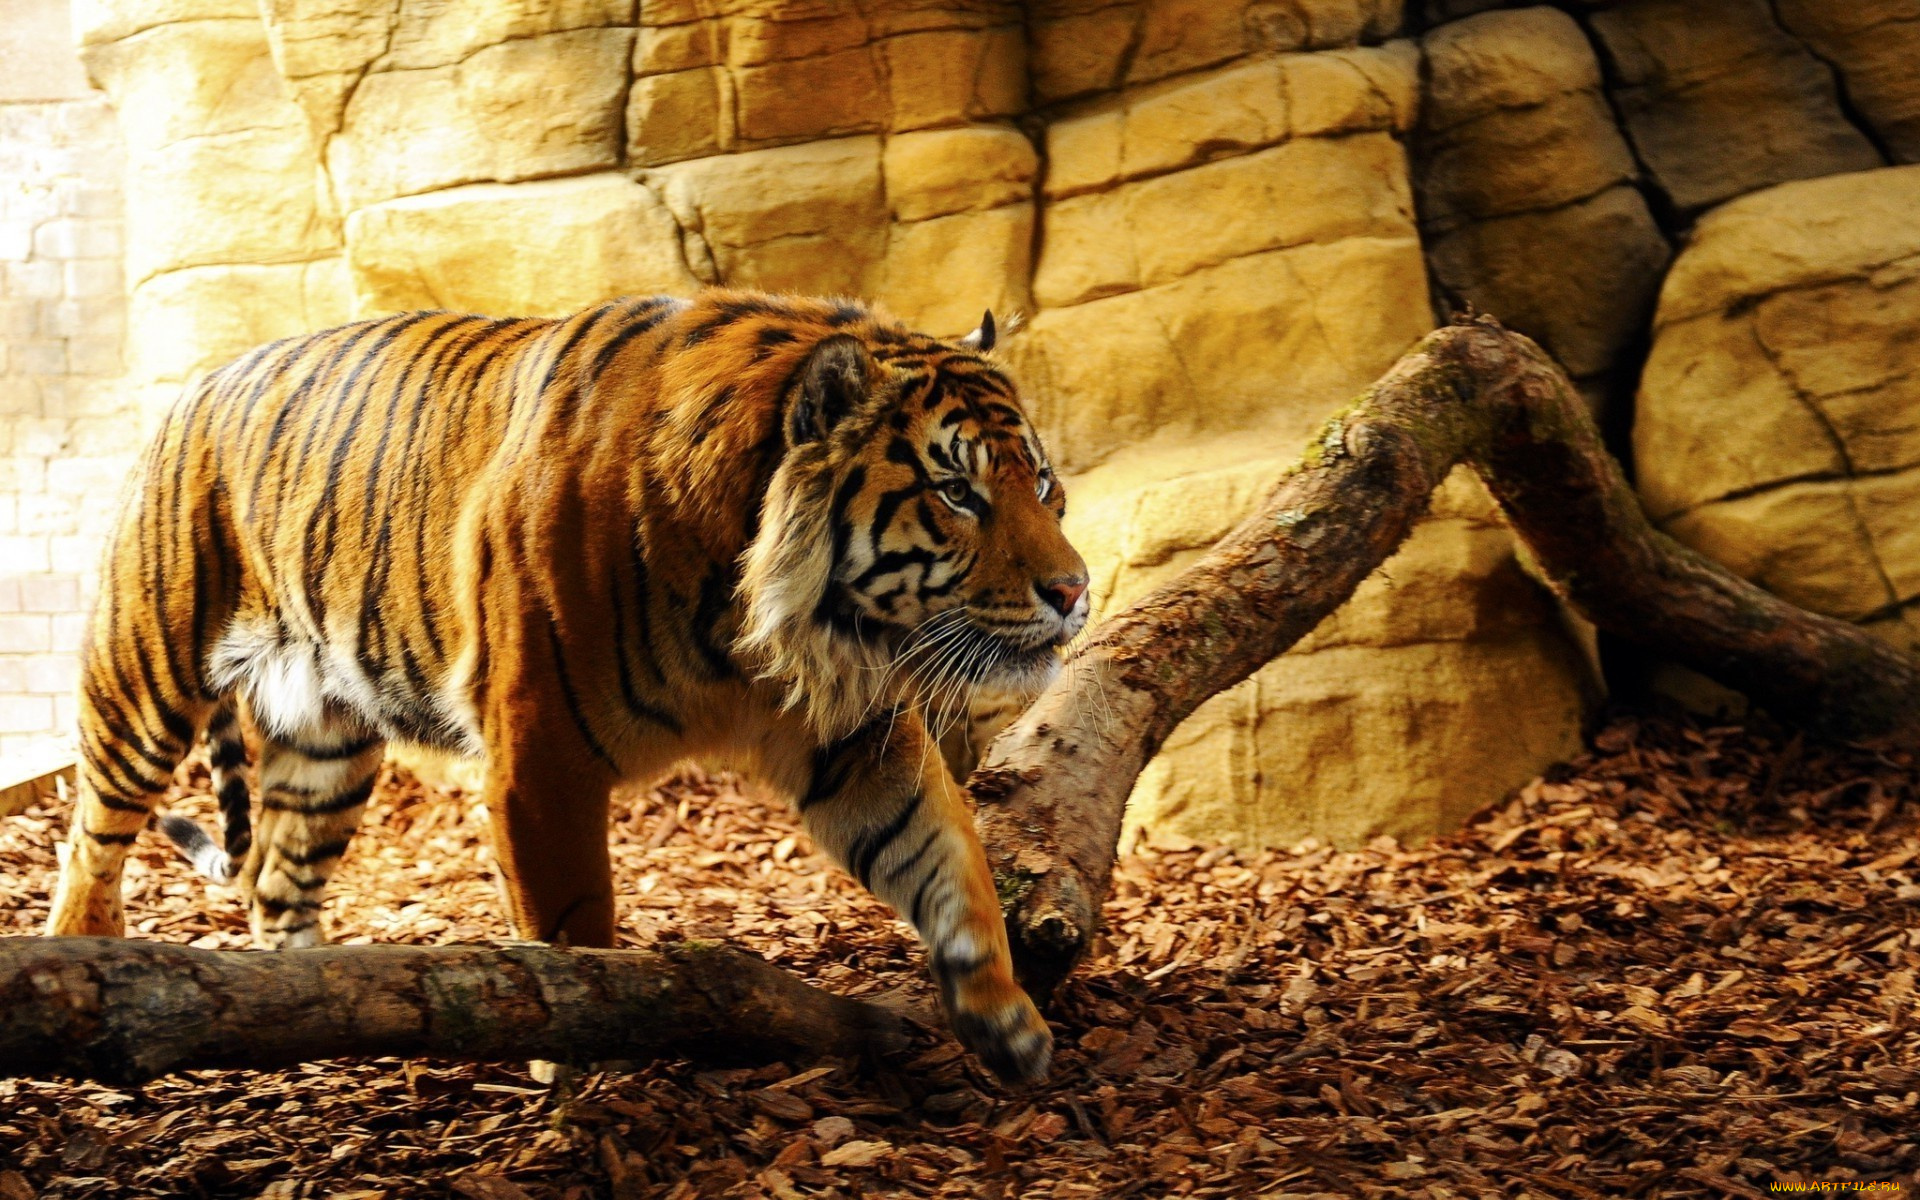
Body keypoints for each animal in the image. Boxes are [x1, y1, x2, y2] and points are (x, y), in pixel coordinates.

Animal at [43, 290, 1091, 1083]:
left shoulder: (855, 734)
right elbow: (577, 928)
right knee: (91, 838)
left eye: (1042, 482)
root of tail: (196, 386)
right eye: (958, 494)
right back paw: (90, 956)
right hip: (144, 678)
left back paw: (320, 1003)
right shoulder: (541, 757)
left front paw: (1005, 1018)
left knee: (275, 878)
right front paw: (591, 1066)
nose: (1076, 591)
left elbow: (948, 854)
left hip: (326, 741)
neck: (770, 621)